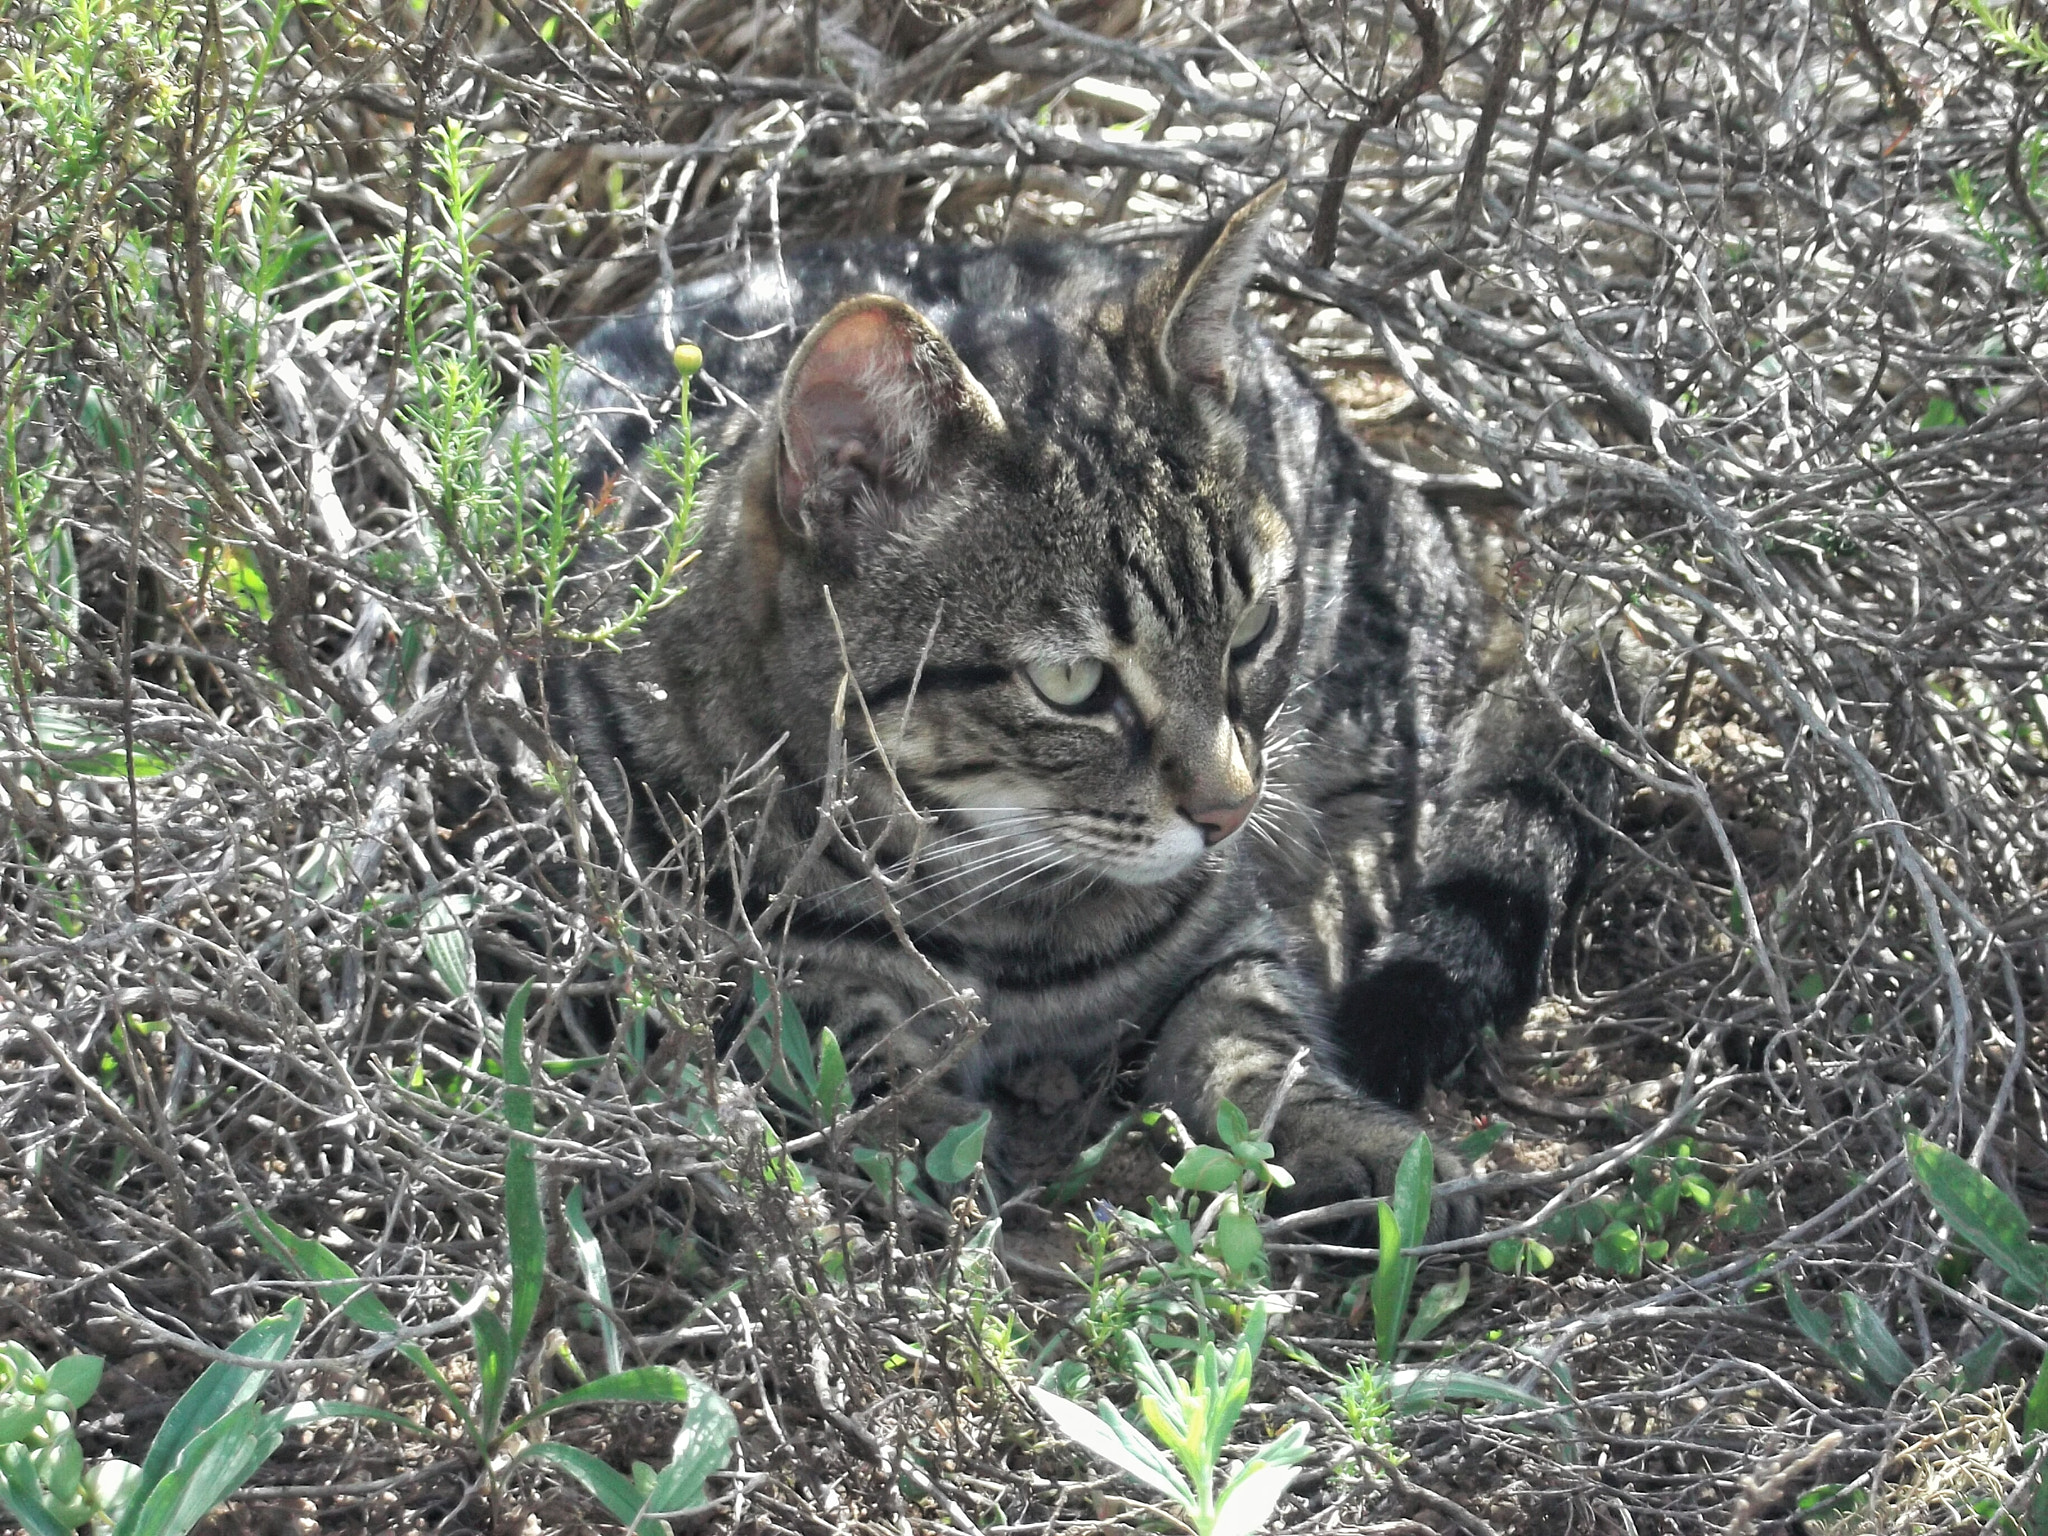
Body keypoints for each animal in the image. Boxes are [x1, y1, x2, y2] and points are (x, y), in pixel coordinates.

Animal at [507, 183, 1613, 1236]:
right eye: (1074, 685)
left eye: (1252, 628)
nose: (1228, 812)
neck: (994, 909)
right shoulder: (653, 952)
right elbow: (830, 1036)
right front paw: (925, 1139)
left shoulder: (1231, 933)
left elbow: (1251, 1037)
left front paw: (1351, 1138)